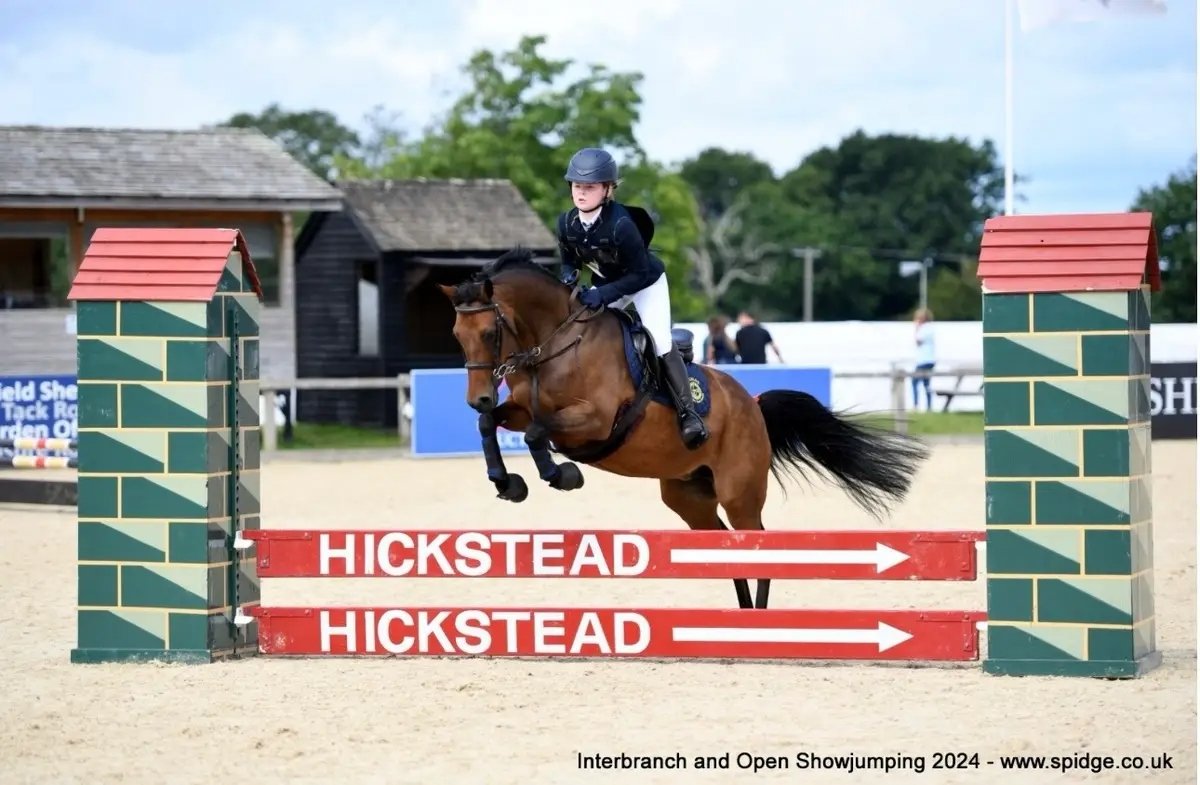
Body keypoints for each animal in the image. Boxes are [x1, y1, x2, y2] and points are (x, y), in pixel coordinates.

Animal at [438, 248, 929, 610]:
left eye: (489, 333)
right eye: (457, 334)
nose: (477, 396)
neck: (555, 343)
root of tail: (752, 405)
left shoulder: (595, 419)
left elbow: (538, 434)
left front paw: (563, 474)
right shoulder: (521, 409)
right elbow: (494, 424)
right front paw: (507, 482)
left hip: (739, 492)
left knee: (757, 542)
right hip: (689, 497)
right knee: (724, 546)